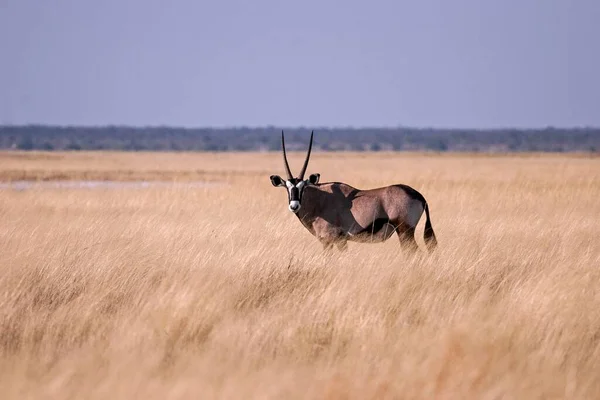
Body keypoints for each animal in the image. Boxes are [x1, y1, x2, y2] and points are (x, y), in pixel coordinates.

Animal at [270, 131, 436, 252]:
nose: (294, 206)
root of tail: (420, 196)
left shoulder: (330, 240)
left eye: (303, 187)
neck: (320, 201)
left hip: (405, 231)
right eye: (288, 188)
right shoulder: (340, 241)